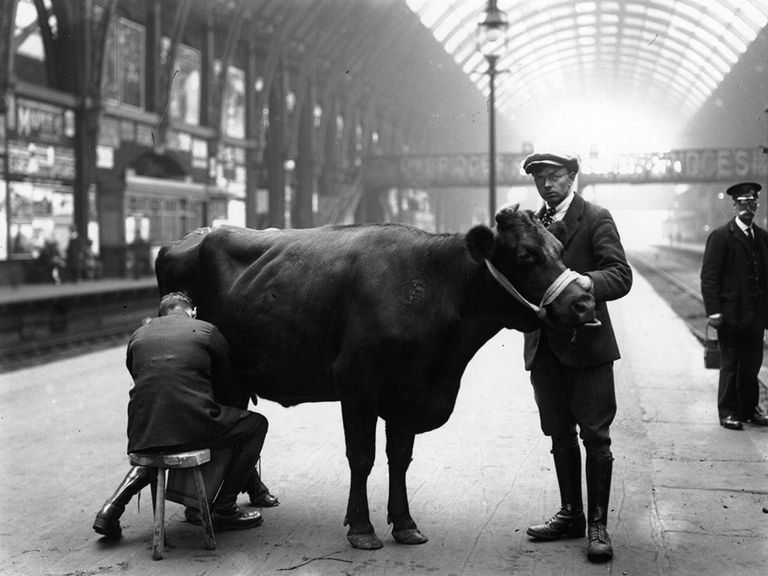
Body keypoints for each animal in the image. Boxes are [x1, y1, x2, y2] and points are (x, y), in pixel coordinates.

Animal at [154, 202, 592, 548]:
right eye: (524, 255)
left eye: (557, 249)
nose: (584, 302)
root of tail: (194, 235)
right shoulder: (357, 384)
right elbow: (362, 457)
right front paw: (361, 528)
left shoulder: (408, 392)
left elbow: (399, 458)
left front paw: (405, 524)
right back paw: (207, 510)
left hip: (237, 376)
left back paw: (253, 497)